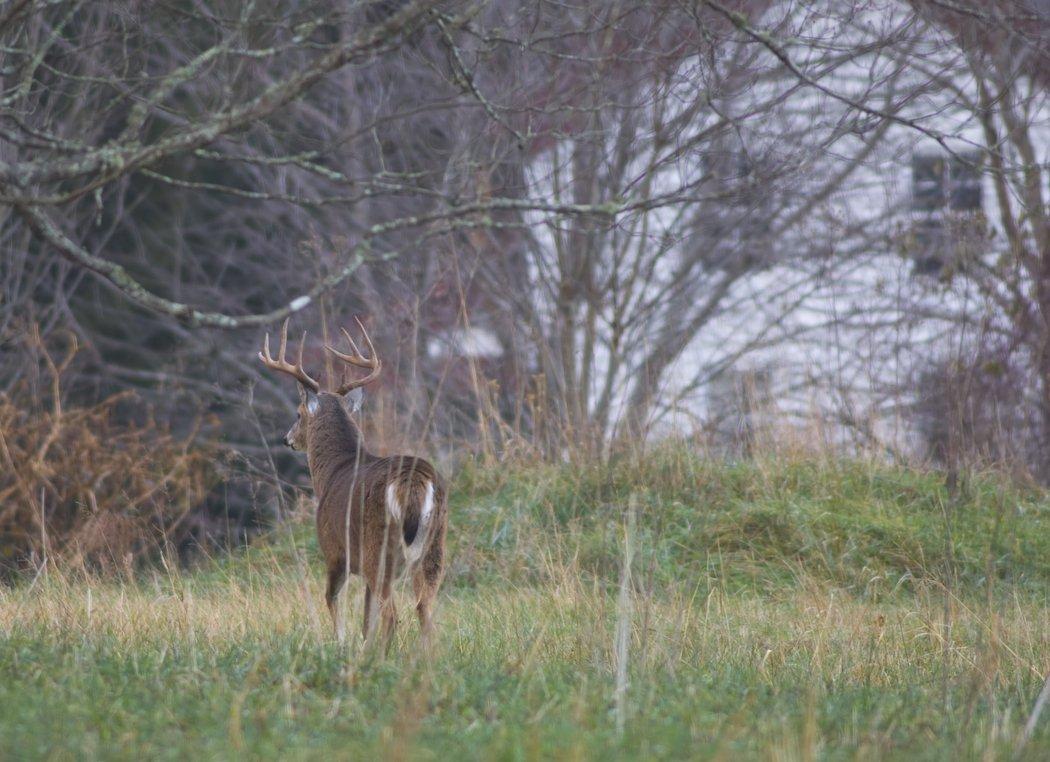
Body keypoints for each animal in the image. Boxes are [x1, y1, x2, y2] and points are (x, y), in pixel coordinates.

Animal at [260, 316, 449, 650]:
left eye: (298, 413)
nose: (287, 439)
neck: (333, 471)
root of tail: (413, 480)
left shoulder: (334, 549)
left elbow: (332, 600)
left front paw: (341, 645)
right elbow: (365, 619)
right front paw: (361, 646)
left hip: (378, 546)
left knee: (393, 615)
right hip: (435, 544)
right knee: (424, 611)